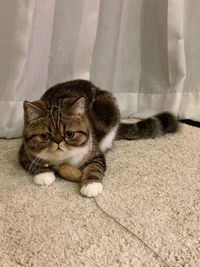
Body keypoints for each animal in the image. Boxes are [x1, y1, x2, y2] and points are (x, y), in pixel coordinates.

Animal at [18, 78, 178, 198]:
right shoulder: (23, 152)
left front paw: (91, 185)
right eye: (45, 136)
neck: (62, 160)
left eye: (69, 134)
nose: (58, 142)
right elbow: (34, 163)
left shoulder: (94, 152)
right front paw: (44, 174)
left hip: (108, 108)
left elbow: (95, 166)